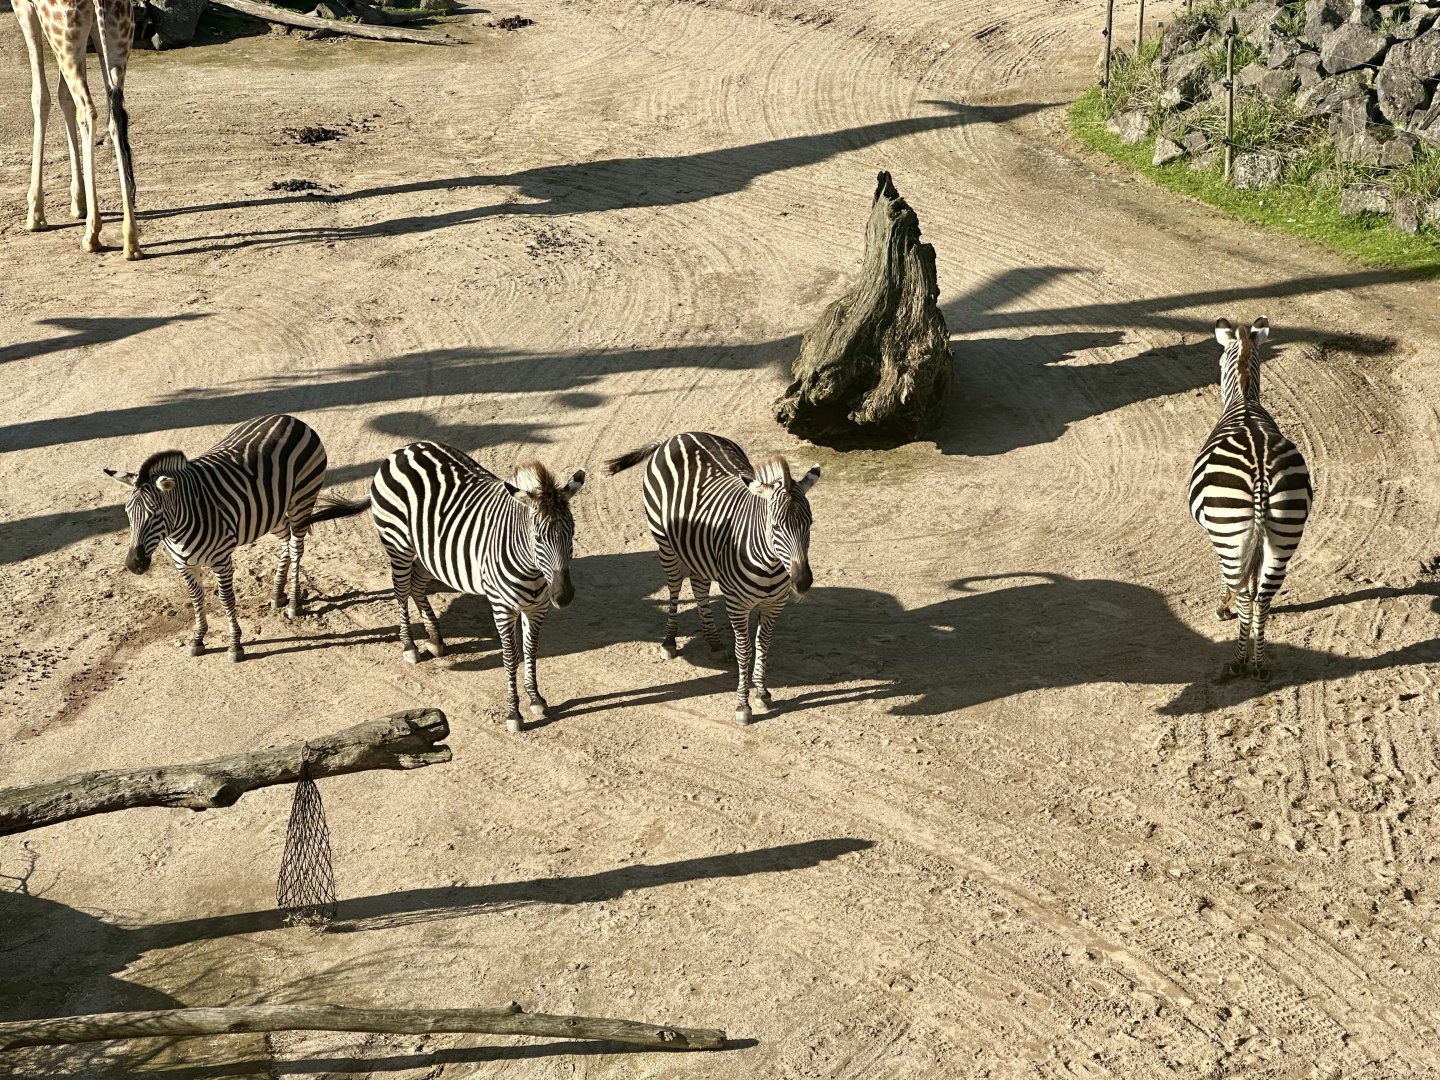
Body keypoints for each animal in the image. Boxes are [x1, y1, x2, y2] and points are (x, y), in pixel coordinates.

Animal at [103, 414, 343, 661]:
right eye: (127, 513)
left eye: (156, 515)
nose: (134, 564)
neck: (179, 529)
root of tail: (290, 419)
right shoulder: (183, 564)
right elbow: (196, 598)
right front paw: (198, 638)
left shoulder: (221, 561)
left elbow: (227, 599)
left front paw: (235, 645)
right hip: (271, 512)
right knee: (286, 539)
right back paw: (277, 593)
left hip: (302, 499)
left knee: (296, 547)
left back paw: (294, 603)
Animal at [322, 442, 586, 733]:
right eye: (537, 537)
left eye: (572, 533)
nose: (564, 596)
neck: (532, 571)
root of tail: (402, 449)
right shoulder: (502, 608)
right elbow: (510, 656)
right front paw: (513, 713)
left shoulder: (537, 608)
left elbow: (530, 651)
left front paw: (536, 698)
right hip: (399, 544)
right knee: (401, 590)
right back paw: (409, 647)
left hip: (430, 554)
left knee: (416, 585)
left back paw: (435, 640)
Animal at [605, 432, 820, 725]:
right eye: (775, 526)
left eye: (809, 524)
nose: (802, 582)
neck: (770, 565)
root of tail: (677, 436)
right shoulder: (736, 605)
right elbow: (745, 651)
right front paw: (743, 705)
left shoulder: (774, 604)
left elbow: (763, 646)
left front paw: (763, 693)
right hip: (665, 544)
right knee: (675, 587)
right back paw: (669, 641)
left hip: (698, 551)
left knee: (699, 587)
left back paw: (714, 641)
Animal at [1188, 316, 1312, 678]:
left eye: (1217, 364)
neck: (1244, 401)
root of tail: (1259, 471)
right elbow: (1254, 577)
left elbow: (1232, 580)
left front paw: (1221, 607)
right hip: (1284, 530)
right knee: (1264, 597)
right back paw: (1258, 664)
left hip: (1231, 534)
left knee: (1243, 594)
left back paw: (1240, 660)